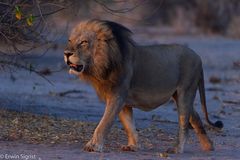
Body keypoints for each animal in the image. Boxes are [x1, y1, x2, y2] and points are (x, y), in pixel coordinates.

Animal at [63, 20, 223, 154]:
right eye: (70, 41)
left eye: (83, 42)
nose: (66, 53)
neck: (102, 64)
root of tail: (198, 57)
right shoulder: (124, 102)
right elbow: (129, 125)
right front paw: (133, 146)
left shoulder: (117, 96)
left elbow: (104, 123)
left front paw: (93, 146)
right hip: (180, 95)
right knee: (195, 117)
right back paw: (209, 146)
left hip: (186, 91)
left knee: (184, 124)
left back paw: (177, 149)